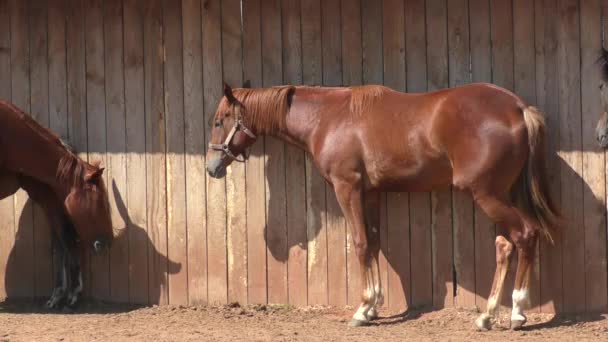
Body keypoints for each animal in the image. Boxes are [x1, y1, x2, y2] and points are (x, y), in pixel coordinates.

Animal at [208, 81, 560, 330]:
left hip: (486, 194)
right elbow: (375, 242)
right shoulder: (371, 192)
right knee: (507, 244)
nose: (212, 167)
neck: (328, 118)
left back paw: (516, 313)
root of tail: (517, 108)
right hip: (503, 194)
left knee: (524, 236)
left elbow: (361, 243)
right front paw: (374, 306)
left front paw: (363, 309)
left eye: (219, 120)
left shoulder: (347, 188)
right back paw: (488, 315)